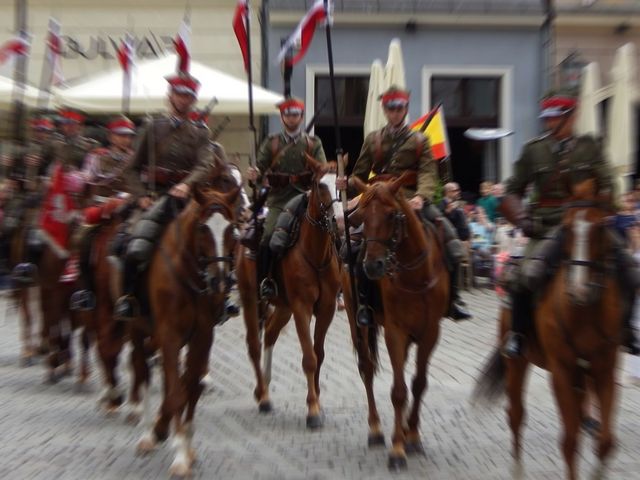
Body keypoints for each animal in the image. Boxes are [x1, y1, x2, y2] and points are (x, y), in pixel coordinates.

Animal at [131, 184, 239, 477]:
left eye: (231, 228)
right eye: (202, 227)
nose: (219, 280)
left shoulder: (202, 336)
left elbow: (190, 387)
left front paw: (186, 447)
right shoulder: (169, 334)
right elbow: (178, 392)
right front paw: (179, 455)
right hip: (138, 330)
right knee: (141, 371)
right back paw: (146, 433)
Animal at [235, 154, 341, 428]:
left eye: (341, 184)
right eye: (320, 186)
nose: (339, 220)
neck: (315, 253)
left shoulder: (327, 308)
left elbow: (319, 354)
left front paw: (317, 402)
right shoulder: (302, 307)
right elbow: (309, 358)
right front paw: (312, 410)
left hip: (283, 306)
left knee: (271, 334)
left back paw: (265, 386)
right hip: (250, 297)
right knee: (254, 343)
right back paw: (263, 396)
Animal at [343, 172, 450, 470]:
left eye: (392, 215)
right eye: (362, 214)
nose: (372, 266)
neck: (416, 277)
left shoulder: (430, 333)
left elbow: (418, 384)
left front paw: (411, 436)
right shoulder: (395, 332)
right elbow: (399, 391)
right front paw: (397, 449)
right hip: (357, 322)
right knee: (367, 369)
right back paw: (377, 430)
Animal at [473, 178, 623, 480]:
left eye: (600, 226)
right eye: (566, 228)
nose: (578, 289)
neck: (583, 311)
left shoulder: (604, 371)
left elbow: (605, 441)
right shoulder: (562, 372)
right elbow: (569, 442)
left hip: (581, 377)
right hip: (517, 363)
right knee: (516, 414)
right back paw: (517, 469)